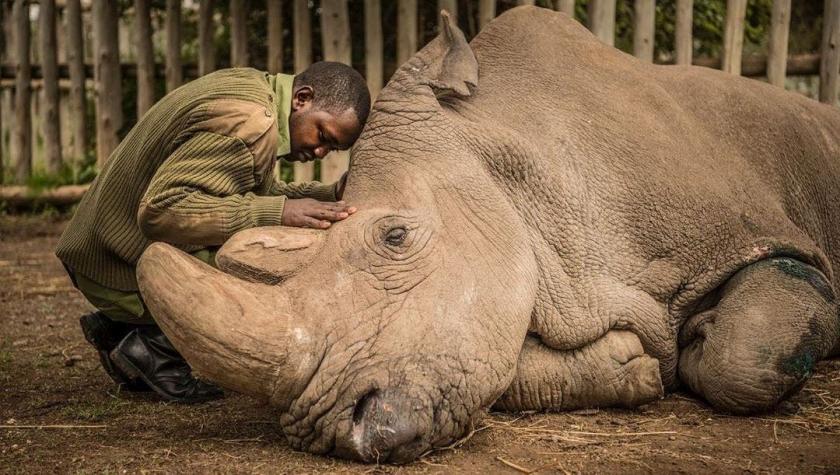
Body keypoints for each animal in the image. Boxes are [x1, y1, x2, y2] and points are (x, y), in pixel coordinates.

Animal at [136, 3, 840, 464]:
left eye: (395, 237)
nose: (335, 432)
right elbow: (499, 367)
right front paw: (635, 366)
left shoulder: (760, 238)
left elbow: (744, 356)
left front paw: (698, 342)